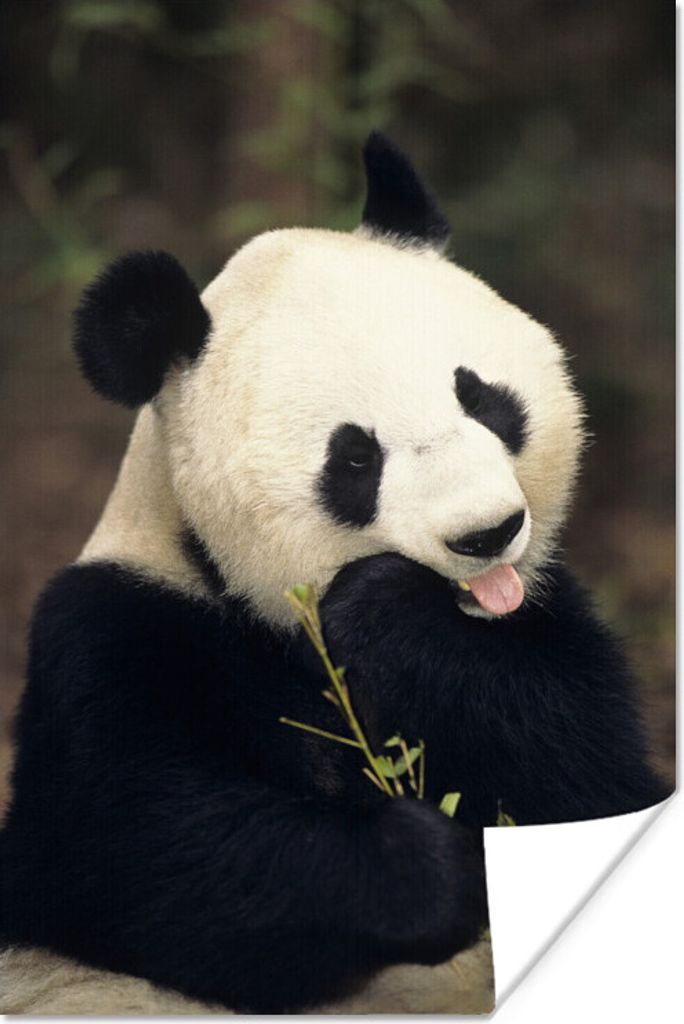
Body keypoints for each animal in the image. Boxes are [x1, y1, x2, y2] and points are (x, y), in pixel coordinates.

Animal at [0, 133, 669, 1014]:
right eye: (355, 458)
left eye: (482, 399)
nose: (487, 533)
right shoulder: (116, 632)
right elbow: (134, 851)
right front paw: (428, 865)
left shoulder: (545, 616)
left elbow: (593, 777)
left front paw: (391, 616)